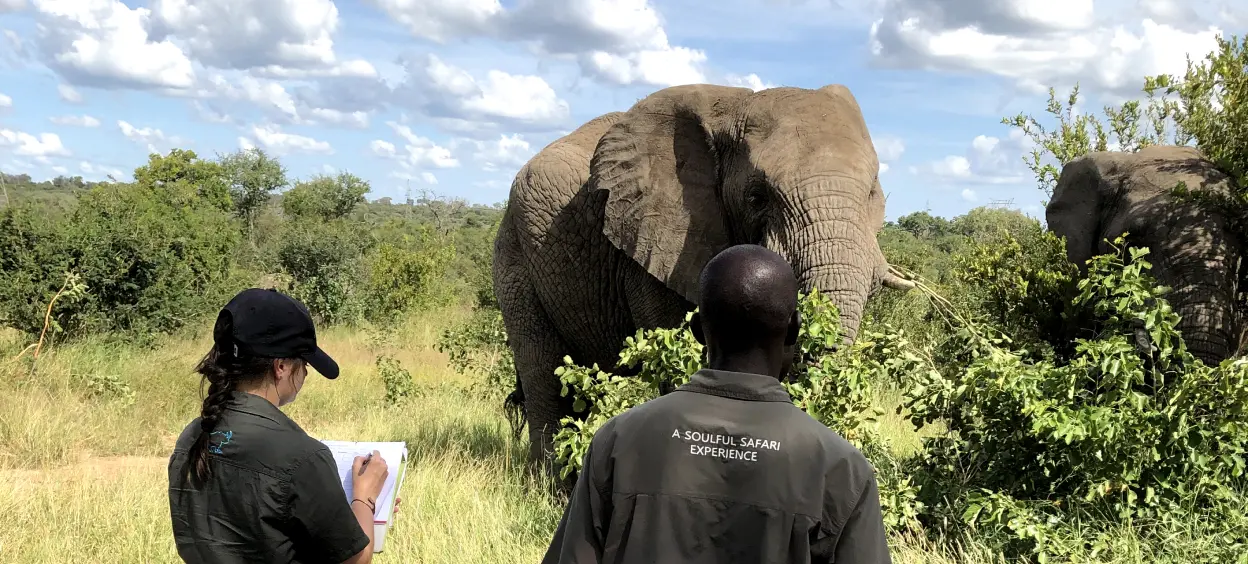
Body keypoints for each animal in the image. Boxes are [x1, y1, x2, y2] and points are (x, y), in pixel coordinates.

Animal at [492, 83, 915, 484]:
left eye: (873, 192)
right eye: (757, 197)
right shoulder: (655, 243)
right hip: (515, 260)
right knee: (544, 373)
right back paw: (551, 487)